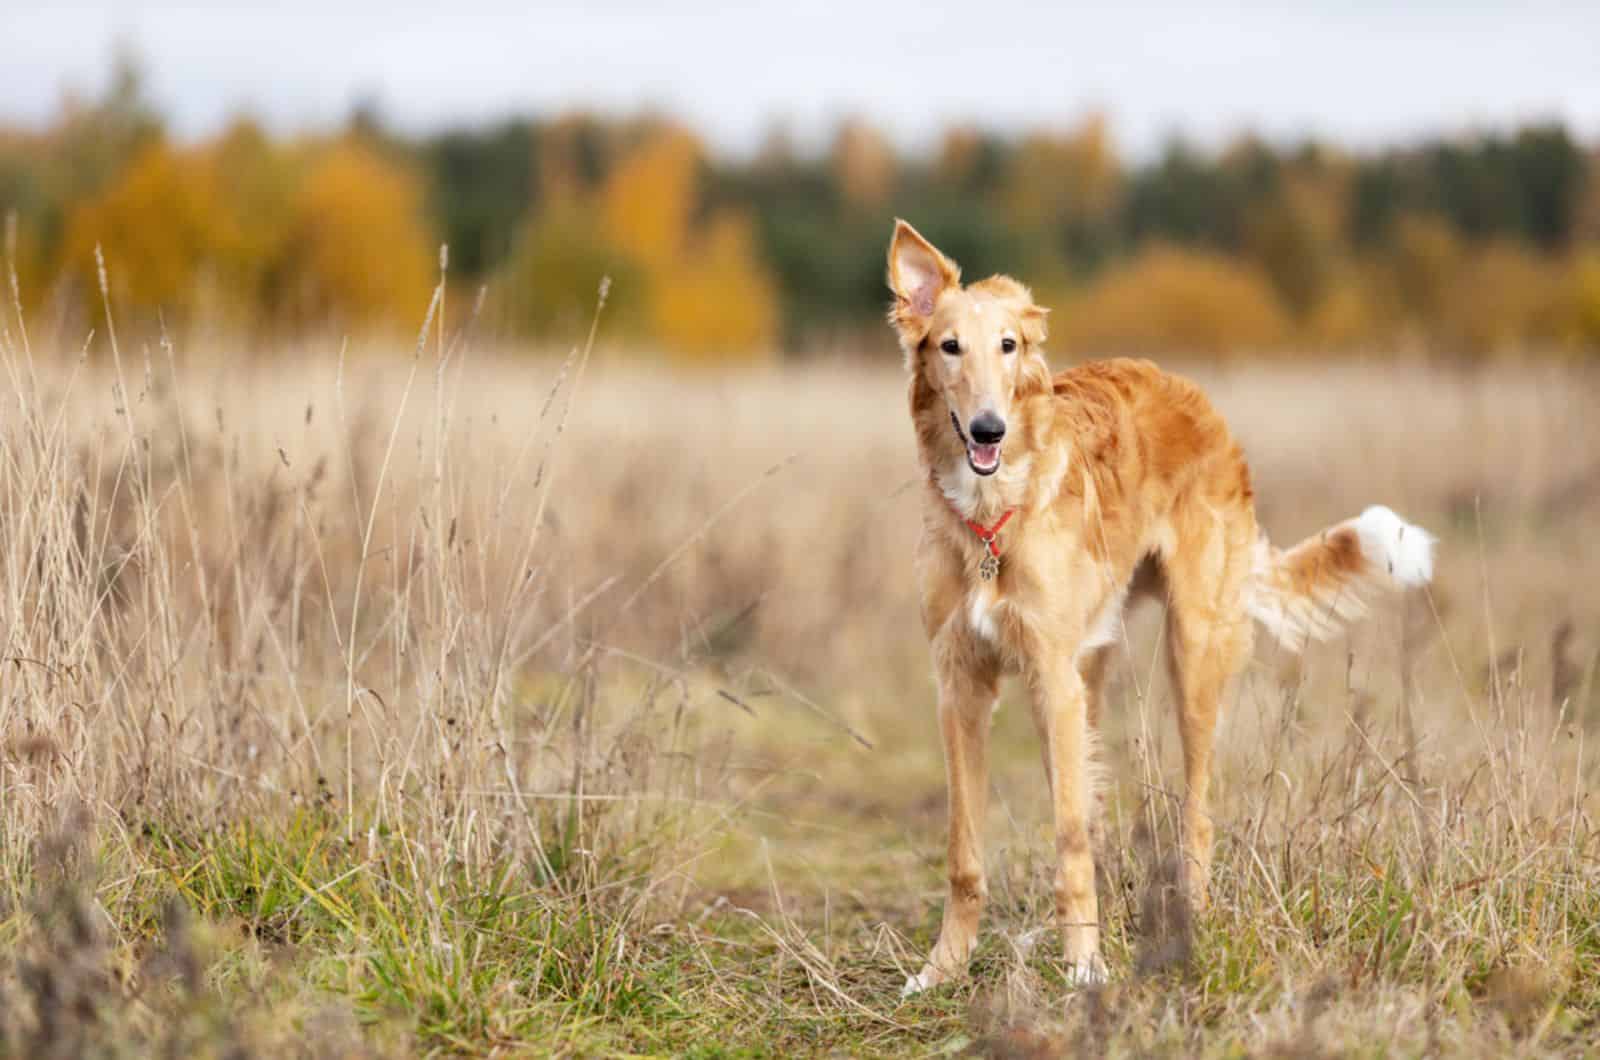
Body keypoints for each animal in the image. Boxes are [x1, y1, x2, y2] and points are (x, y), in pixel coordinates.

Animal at [889, 219, 1440, 992]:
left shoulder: (1049, 675)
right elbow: (966, 853)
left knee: (1194, 812)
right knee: (1094, 802)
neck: (992, 519)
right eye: (949, 346)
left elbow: (1069, 840)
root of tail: (1195, 395)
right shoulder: (961, 684)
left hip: (1192, 652)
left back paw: (1190, 918)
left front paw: (1084, 967)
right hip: (1089, 671)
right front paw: (943, 969)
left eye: (1009, 345)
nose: (989, 429)